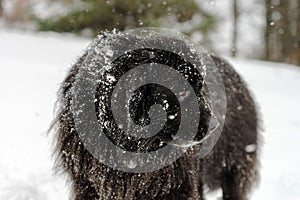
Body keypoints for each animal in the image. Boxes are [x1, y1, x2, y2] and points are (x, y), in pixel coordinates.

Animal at [49, 31, 260, 200]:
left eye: (202, 89)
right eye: (183, 91)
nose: (216, 125)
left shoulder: (176, 185)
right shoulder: (88, 184)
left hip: (233, 169)